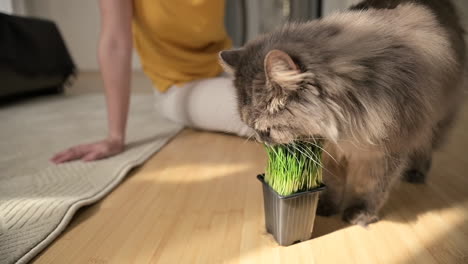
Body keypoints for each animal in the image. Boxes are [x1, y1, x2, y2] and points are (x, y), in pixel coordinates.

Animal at [218, 0, 464, 225]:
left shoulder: (387, 150)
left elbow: (371, 186)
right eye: (253, 128)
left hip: (436, 120)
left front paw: (361, 213)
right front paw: (327, 206)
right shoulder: (330, 152)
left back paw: (416, 174)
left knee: (425, 148)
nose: (262, 141)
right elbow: (333, 182)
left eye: (266, 130)